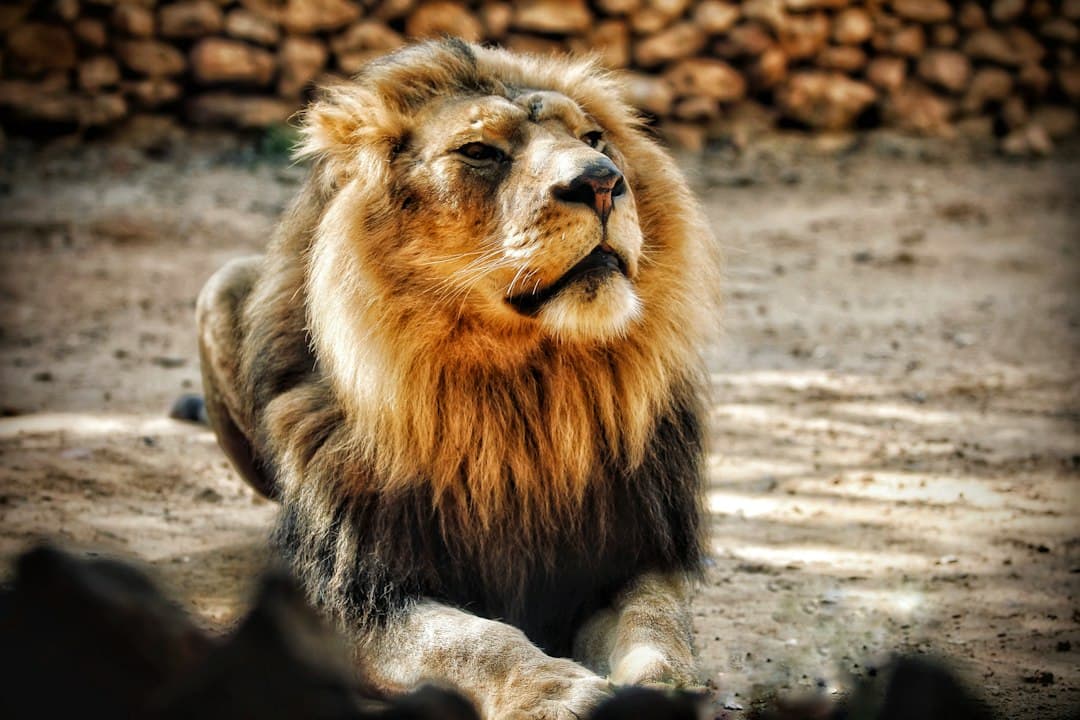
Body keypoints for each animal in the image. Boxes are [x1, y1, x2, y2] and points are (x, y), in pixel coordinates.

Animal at [193, 39, 720, 719]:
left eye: (595, 139)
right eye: (479, 152)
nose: (603, 182)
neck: (519, 391)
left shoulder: (632, 553)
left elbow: (656, 621)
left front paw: (663, 687)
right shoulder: (357, 590)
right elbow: (473, 640)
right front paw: (555, 690)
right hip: (220, 285)